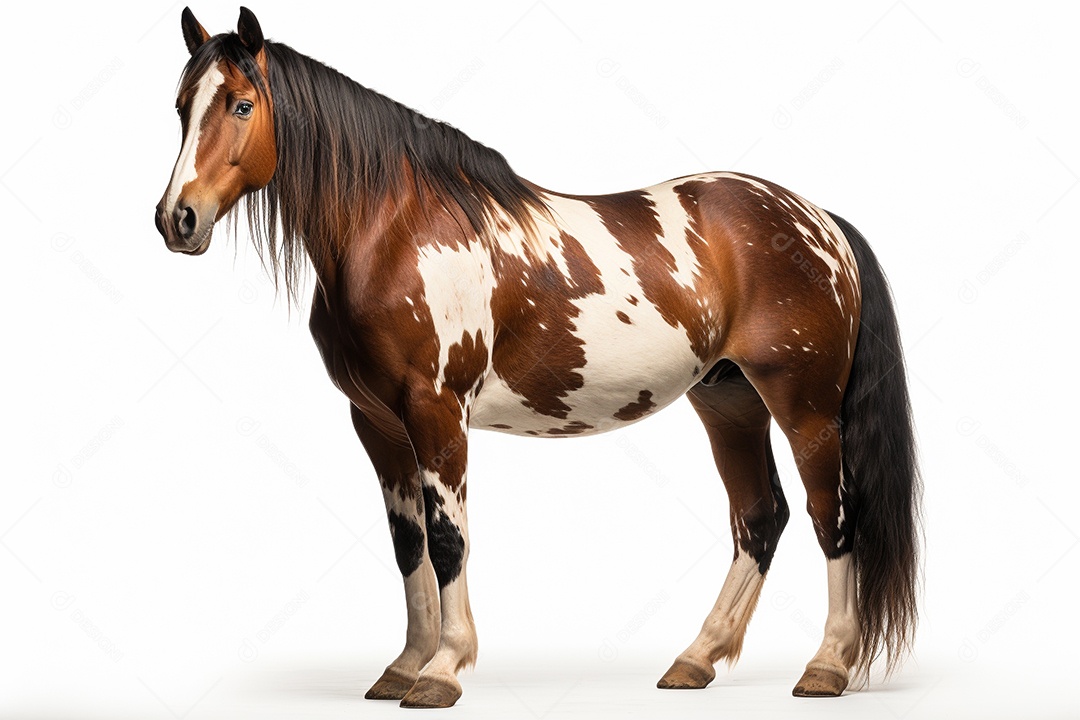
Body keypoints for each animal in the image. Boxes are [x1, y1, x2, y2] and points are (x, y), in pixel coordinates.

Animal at [155, 7, 920, 709]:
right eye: (182, 106)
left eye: (242, 104)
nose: (177, 219)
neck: (397, 230)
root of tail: (817, 220)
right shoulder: (376, 422)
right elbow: (407, 544)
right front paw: (404, 666)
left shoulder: (436, 412)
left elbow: (447, 540)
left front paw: (443, 670)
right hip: (728, 400)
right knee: (760, 518)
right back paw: (695, 659)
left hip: (805, 406)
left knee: (831, 515)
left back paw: (826, 666)